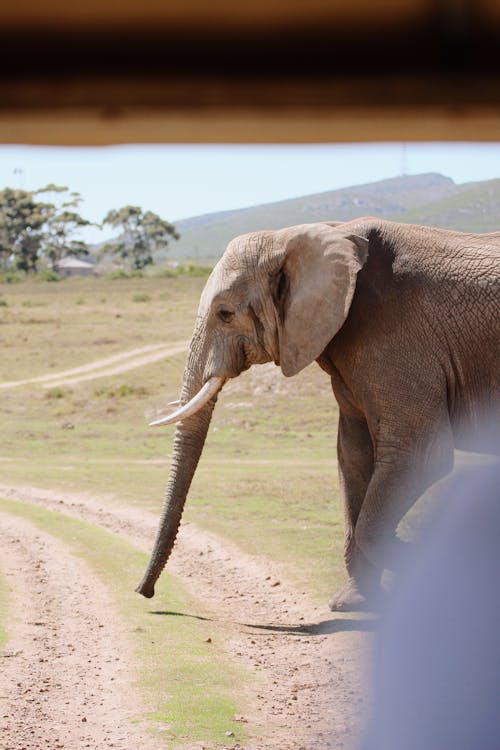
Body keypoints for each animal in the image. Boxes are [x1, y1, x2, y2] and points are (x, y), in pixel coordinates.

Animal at [137, 217, 500, 612]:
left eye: (225, 314)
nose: (145, 593)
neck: (303, 235)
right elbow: (353, 456)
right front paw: (351, 603)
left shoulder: (398, 336)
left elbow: (421, 456)